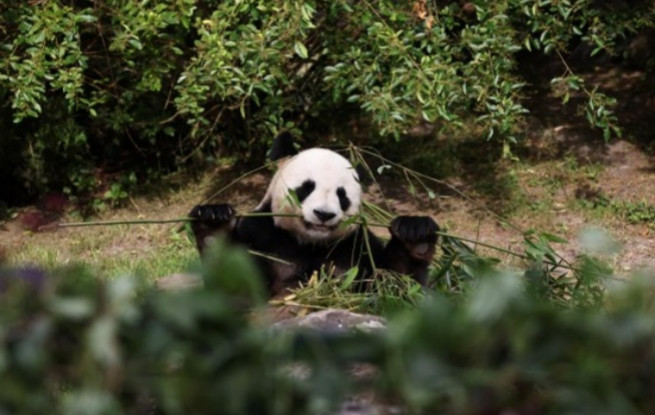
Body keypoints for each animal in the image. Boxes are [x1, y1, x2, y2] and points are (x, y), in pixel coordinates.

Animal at [187, 133, 438, 296]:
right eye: (306, 188)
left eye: (342, 195)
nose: (323, 214)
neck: (310, 243)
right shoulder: (262, 234)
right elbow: (236, 287)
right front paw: (213, 223)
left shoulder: (355, 246)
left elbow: (396, 286)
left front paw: (415, 234)